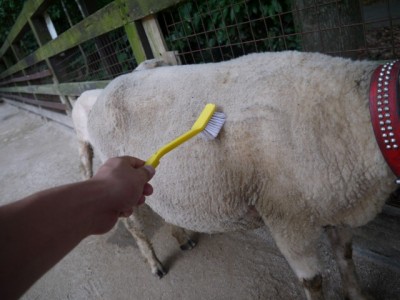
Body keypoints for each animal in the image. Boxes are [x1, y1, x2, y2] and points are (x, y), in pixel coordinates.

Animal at [83, 52, 394, 300]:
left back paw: (182, 238)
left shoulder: (337, 207)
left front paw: (358, 295)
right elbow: (313, 281)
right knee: (135, 227)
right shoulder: (287, 217)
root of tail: (108, 87)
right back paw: (155, 264)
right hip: (117, 174)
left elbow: (346, 257)